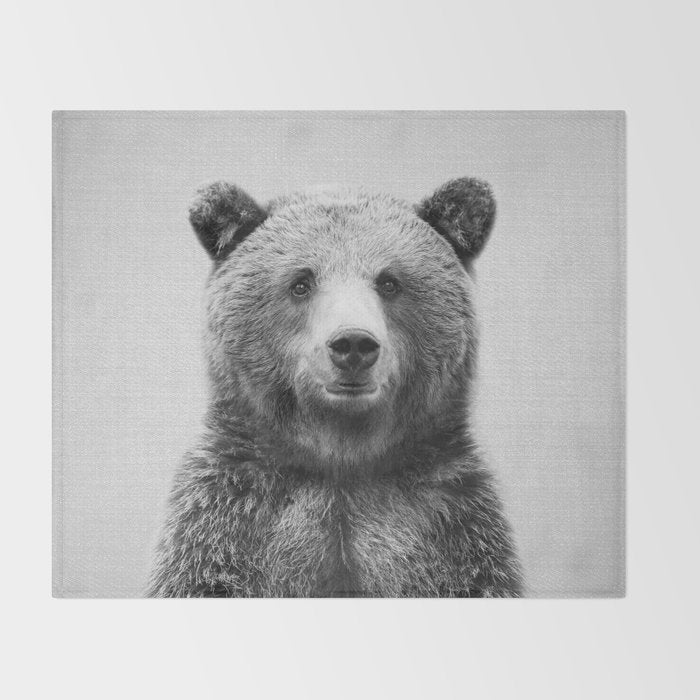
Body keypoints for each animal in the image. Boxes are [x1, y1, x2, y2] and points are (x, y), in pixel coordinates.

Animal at [148, 178, 522, 597]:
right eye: (301, 283)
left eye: (389, 282)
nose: (353, 344)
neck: (342, 459)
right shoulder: (227, 526)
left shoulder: (452, 529)